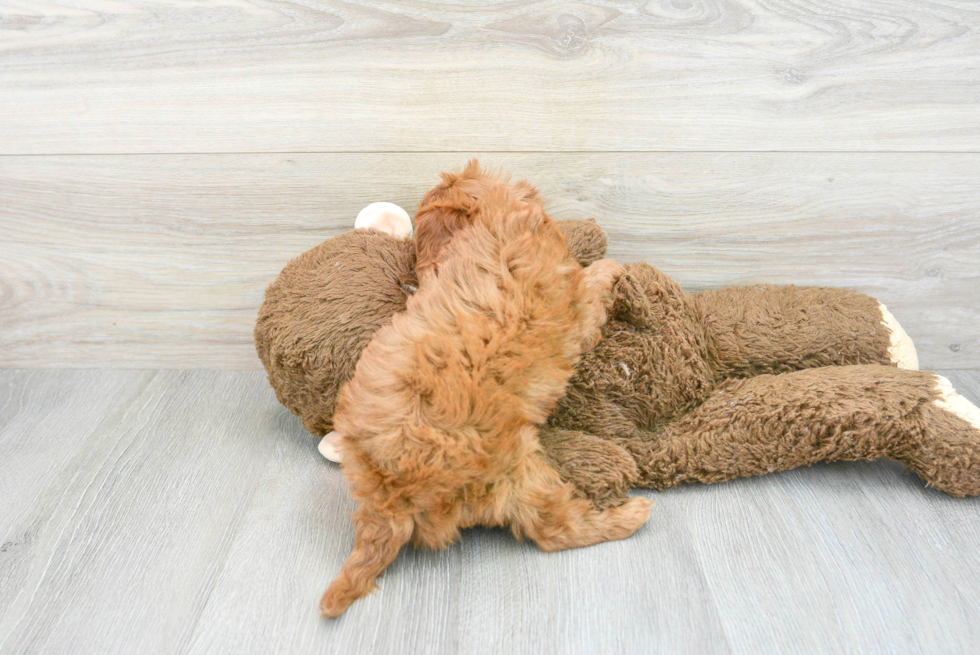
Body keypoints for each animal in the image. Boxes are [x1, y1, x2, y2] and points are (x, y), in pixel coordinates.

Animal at [320, 161, 652, 616]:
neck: (495, 220)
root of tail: (392, 497)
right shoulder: (576, 309)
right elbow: (595, 279)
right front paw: (615, 269)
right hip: (523, 474)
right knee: (555, 529)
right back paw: (630, 515)